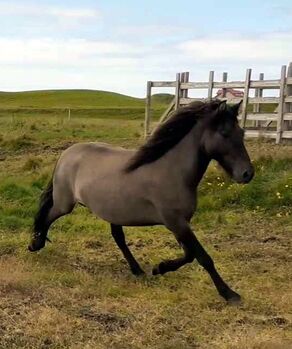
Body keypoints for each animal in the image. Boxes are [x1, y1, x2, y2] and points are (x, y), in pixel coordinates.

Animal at [28, 99, 254, 300]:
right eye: (224, 133)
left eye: (242, 133)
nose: (247, 174)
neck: (172, 170)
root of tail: (66, 153)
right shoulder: (176, 222)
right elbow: (203, 257)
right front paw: (229, 294)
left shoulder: (180, 224)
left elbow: (190, 254)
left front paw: (160, 268)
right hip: (64, 204)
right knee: (46, 216)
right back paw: (35, 244)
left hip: (112, 211)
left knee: (118, 238)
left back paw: (137, 269)